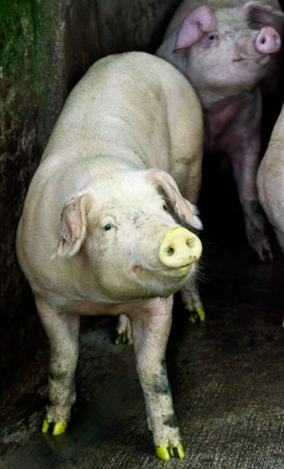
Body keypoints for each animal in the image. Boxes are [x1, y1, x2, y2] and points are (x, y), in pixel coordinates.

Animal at [16, 52, 204, 460]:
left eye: (161, 208)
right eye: (106, 226)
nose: (173, 234)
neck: (100, 296)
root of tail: (134, 55)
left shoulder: (158, 304)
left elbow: (153, 373)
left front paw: (172, 452)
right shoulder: (44, 296)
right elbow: (62, 362)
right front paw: (53, 428)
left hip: (192, 160)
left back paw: (196, 315)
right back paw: (122, 337)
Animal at [156, 0, 284, 260]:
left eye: (248, 27)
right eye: (212, 36)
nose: (266, 32)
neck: (218, 108)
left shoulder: (249, 135)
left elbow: (249, 195)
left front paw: (265, 255)